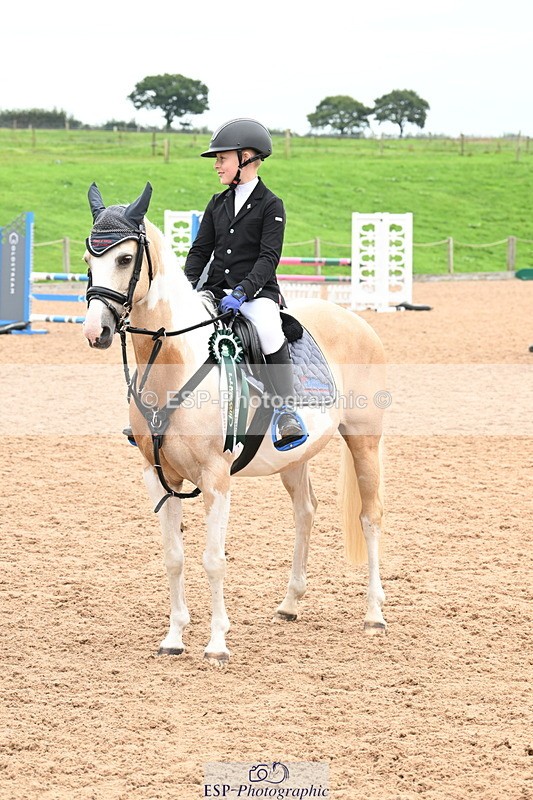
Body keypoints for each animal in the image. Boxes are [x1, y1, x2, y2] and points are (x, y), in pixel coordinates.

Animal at [82, 182, 388, 666]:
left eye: (126, 259)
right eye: (87, 260)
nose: (97, 332)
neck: (177, 361)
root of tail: (354, 318)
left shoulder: (216, 477)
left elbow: (213, 559)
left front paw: (217, 644)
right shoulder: (158, 476)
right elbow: (173, 557)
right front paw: (174, 637)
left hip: (364, 440)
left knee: (370, 516)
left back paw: (374, 614)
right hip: (294, 456)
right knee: (305, 511)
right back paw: (290, 604)